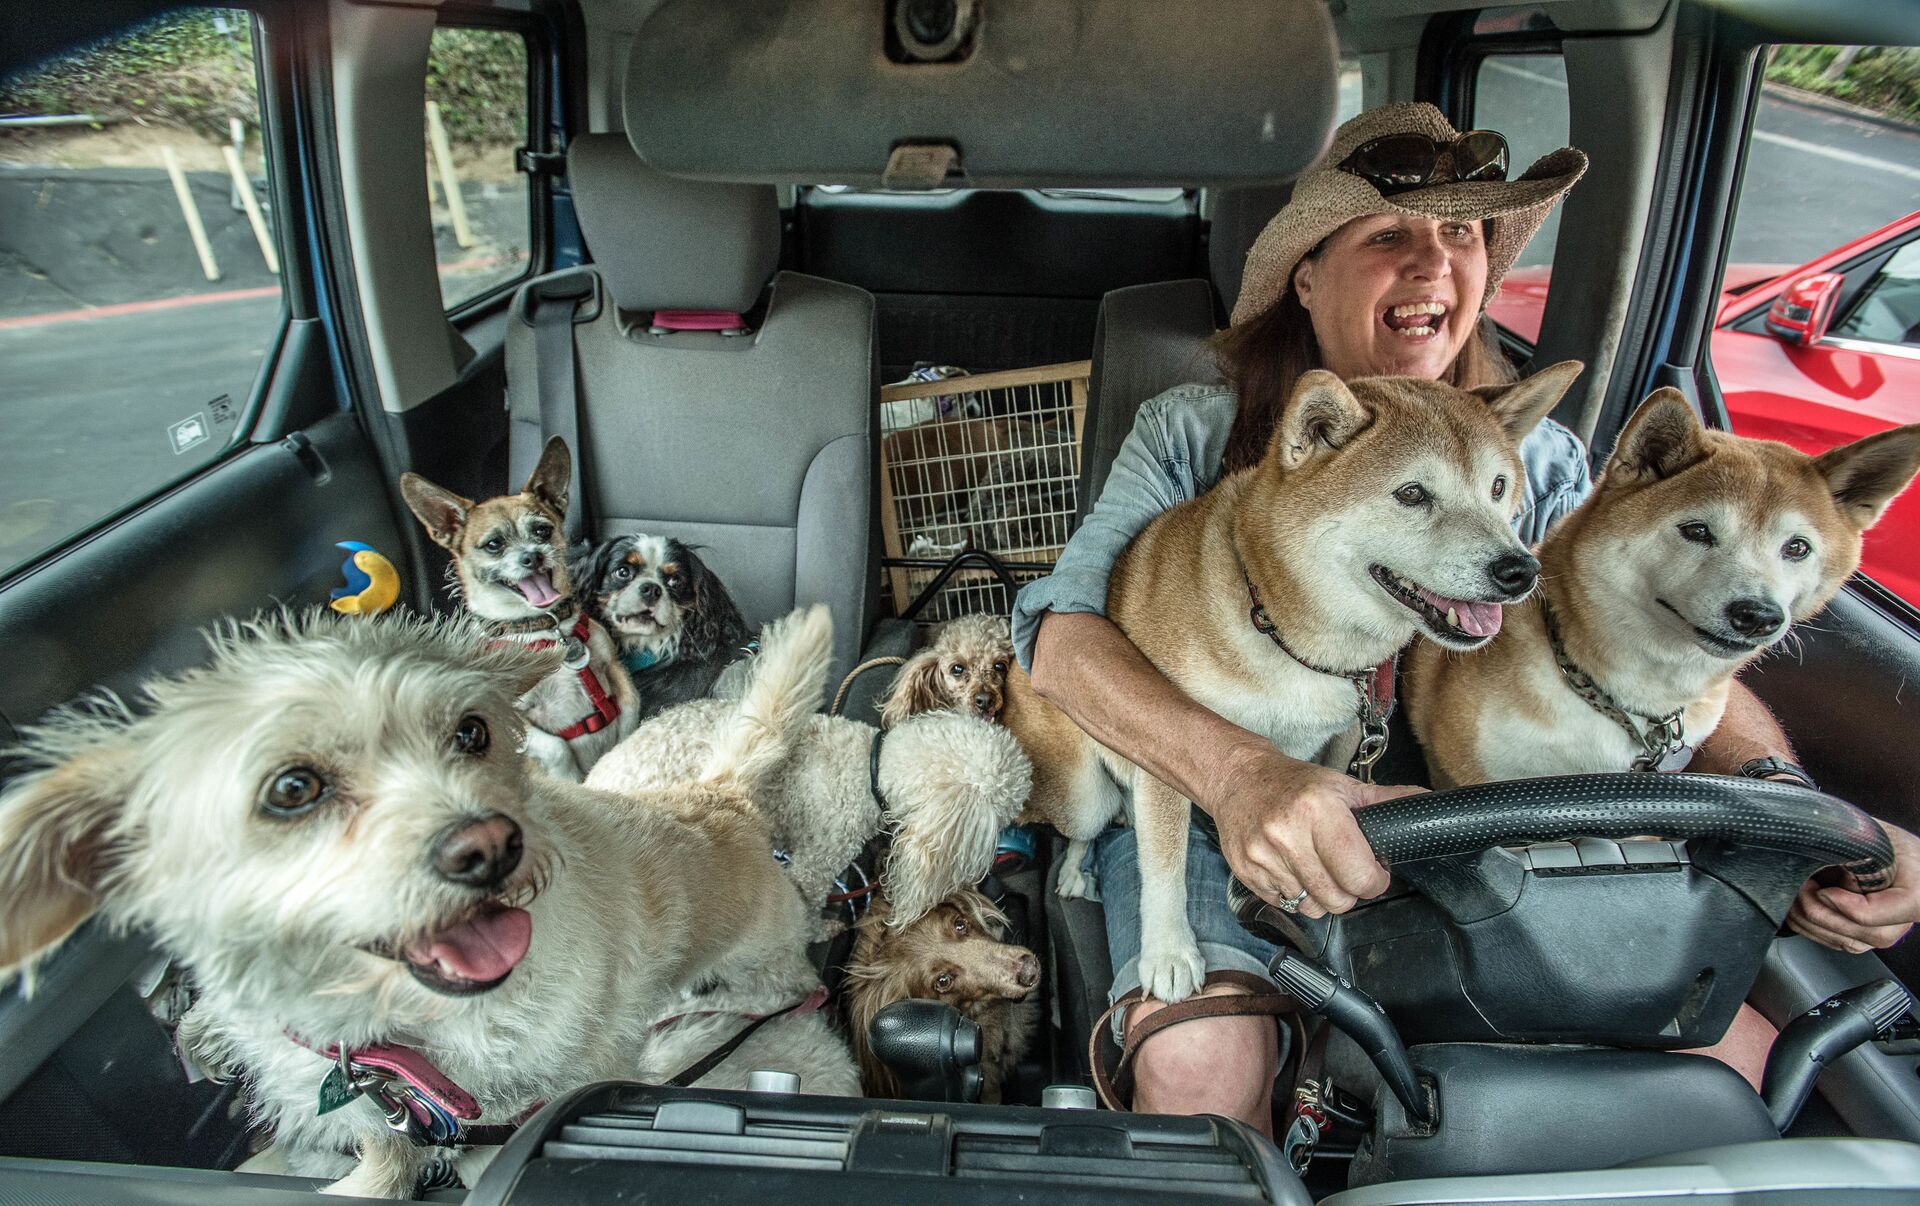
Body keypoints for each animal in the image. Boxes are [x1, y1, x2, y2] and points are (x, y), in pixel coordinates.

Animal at [0, 604, 836, 1197]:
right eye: (292, 788)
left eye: (471, 732)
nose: (491, 845)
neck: (399, 1032)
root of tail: (720, 796)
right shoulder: (374, 1106)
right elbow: (384, 1149)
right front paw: (370, 1183)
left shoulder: (556, 1090)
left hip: (767, 969)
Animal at [400, 437, 637, 781]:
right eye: (493, 545)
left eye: (542, 531)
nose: (533, 555)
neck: (545, 629)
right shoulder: (506, 715)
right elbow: (555, 746)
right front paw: (574, 781)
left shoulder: (614, 667)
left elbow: (631, 708)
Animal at [999, 362, 1583, 1003]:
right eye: (1412, 494)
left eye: (1498, 488)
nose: (1519, 569)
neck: (1288, 636)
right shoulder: (1165, 740)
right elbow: (1165, 867)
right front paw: (1169, 951)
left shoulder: (1345, 733)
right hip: (1084, 792)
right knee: (1081, 830)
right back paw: (1076, 872)